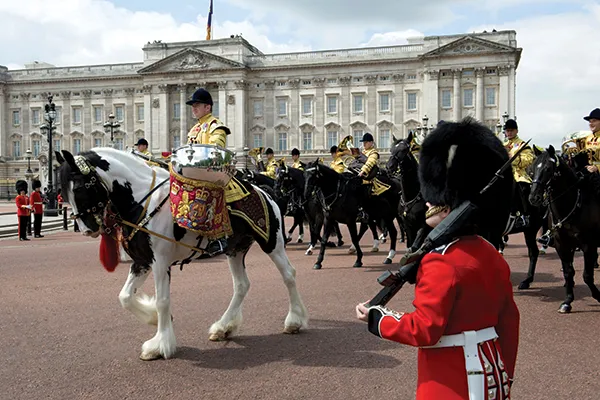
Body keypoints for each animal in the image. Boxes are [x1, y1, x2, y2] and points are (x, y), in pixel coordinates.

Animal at [56, 145, 310, 360]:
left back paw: (294, 321)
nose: (87, 229)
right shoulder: (142, 261)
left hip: (271, 242)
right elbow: (125, 297)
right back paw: (223, 327)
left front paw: (161, 344)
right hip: (235, 250)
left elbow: (163, 300)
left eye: (80, 187)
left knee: (288, 274)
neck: (142, 202)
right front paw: (153, 319)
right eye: (63, 192)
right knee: (241, 285)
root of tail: (263, 191)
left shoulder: (160, 261)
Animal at [528, 145, 600, 314]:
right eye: (531, 169)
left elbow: (587, 275)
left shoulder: (589, 245)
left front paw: (598, 295)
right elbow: (568, 272)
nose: (533, 198)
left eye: (548, 169)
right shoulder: (562, 245)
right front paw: (567, 301)